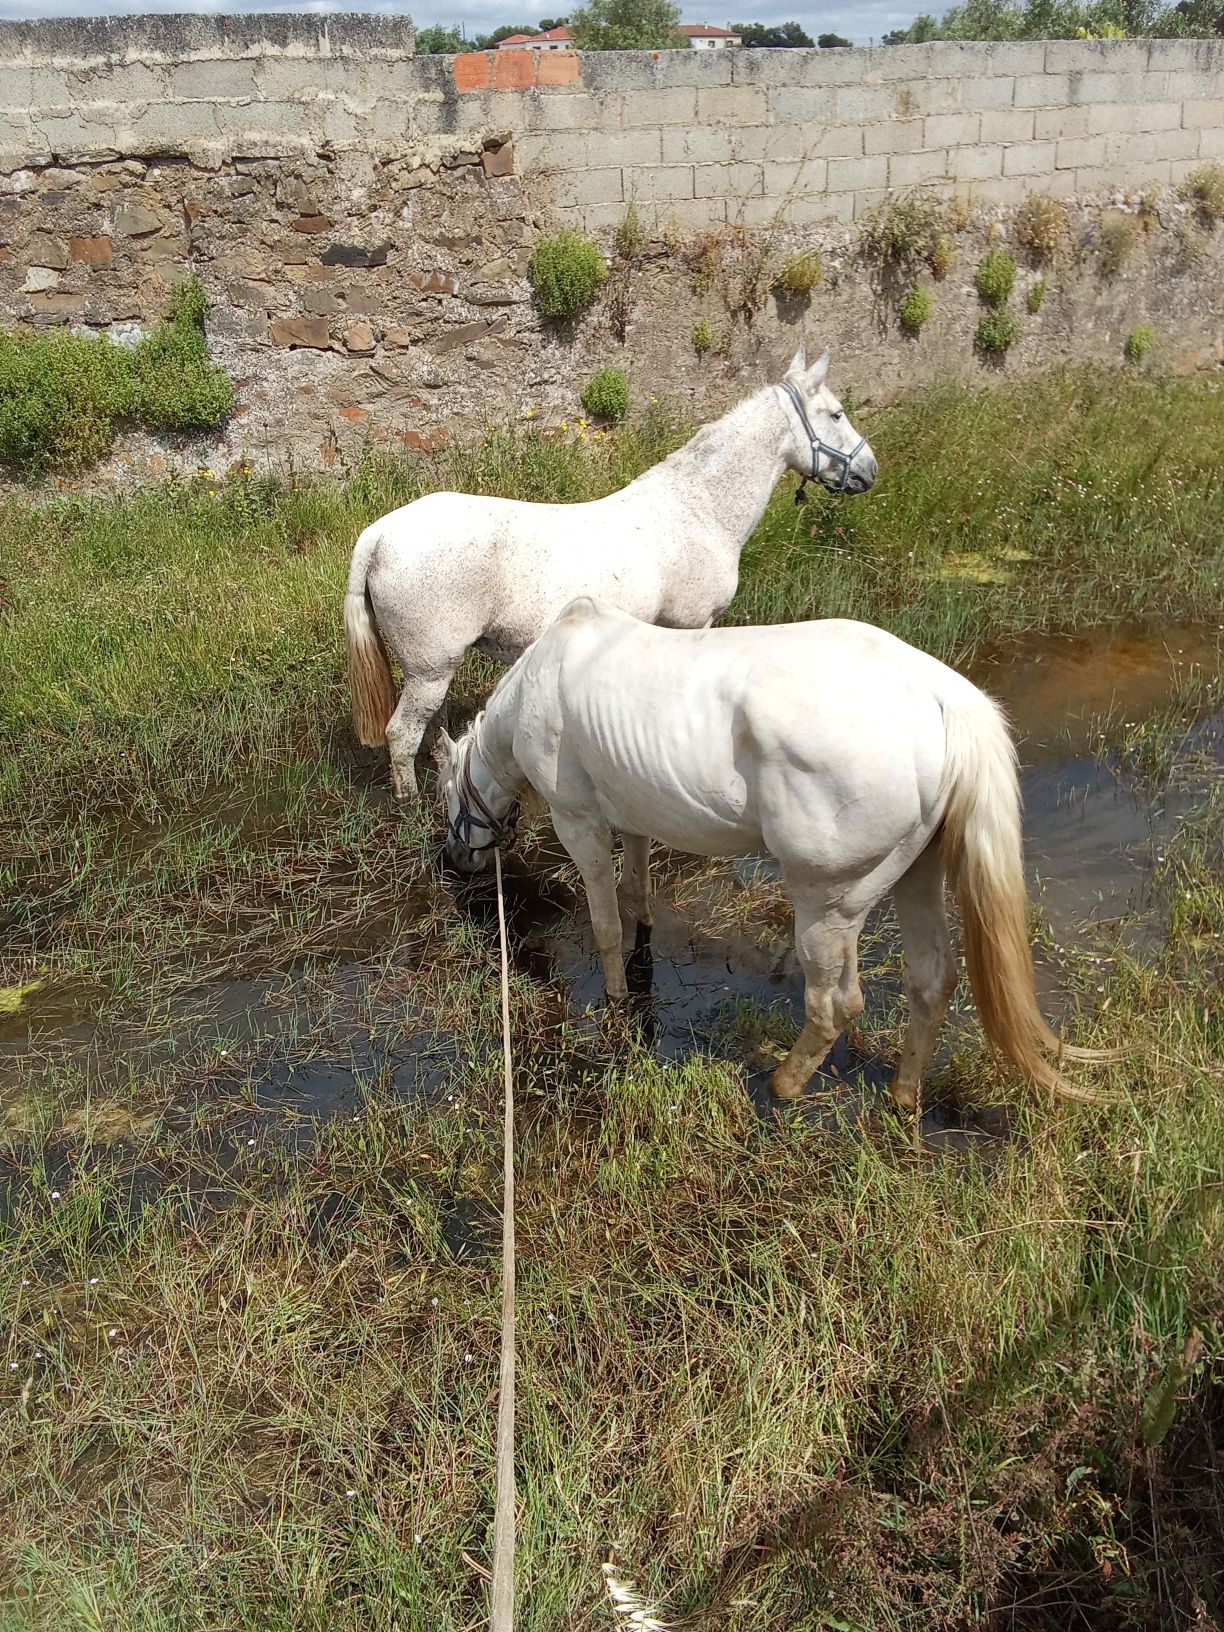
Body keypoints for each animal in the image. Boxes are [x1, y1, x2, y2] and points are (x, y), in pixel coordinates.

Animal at [349, 347, 874, 799]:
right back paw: (410, 802)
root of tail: (377, 536)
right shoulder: (693, 625)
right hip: (430, 670)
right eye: (835, 414)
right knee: (401, 734)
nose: (869, 471)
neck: (697, 509)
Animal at [437, 600, 1109, 1109]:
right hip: (916, 876)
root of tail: (945, 700)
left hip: (828, 904)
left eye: (445, 795)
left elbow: (604, 922)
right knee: (930, 979)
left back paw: (782, 1086)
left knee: (836, 1004)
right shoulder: (634, 818)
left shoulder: (580, 824)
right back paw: (902, 1096)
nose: (454, 863)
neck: (542, 679)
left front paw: (616, 1002)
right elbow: (637, 894)